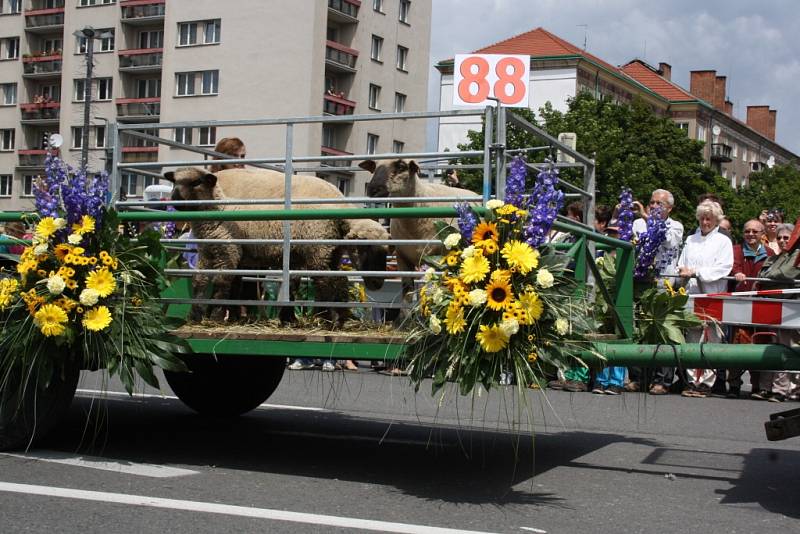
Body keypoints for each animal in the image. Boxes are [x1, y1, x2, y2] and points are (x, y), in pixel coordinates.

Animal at [164, 168, 390, 326]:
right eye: (364, 247)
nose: (378, 283)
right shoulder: (317, 250)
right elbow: (324, 283)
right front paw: (325, 319)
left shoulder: (323, 253)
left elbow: (332, 282)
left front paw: (339, 316)